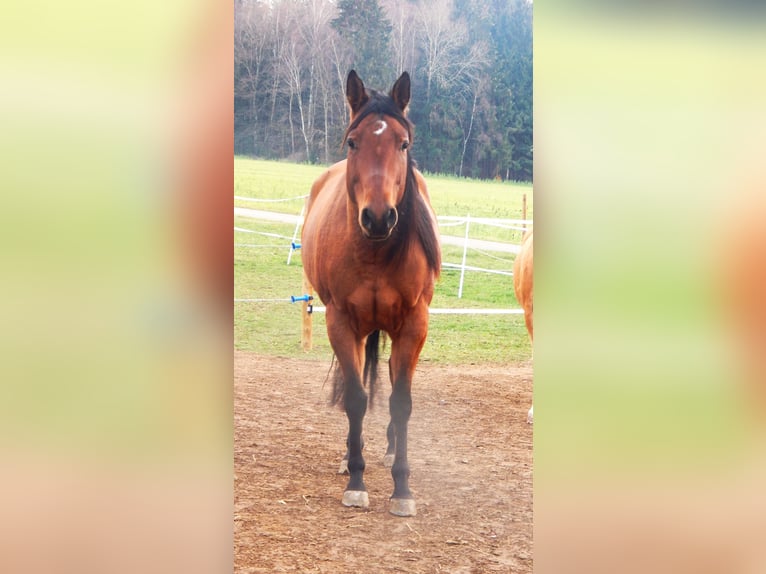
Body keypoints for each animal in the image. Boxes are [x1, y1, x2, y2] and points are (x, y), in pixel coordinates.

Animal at [301, 70, 441, 516]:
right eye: (353, 142)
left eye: (403, 143)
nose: (378, 217)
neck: (376, 252)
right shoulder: (342, 323)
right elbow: (356, 399)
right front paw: (357, 481)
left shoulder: (414, 326)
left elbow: (401, 402)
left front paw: (402, 489)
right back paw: (351, 455)